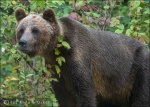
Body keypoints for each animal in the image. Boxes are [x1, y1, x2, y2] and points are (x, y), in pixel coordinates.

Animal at [14, 7, 149, 106]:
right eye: (21, 29)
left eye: (35, 30)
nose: (22, 43)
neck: (57, 50)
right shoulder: (56, 70)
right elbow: (63, 96)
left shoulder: (78, 58)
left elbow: (84, 91)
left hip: (139, 71)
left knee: (141, 98)